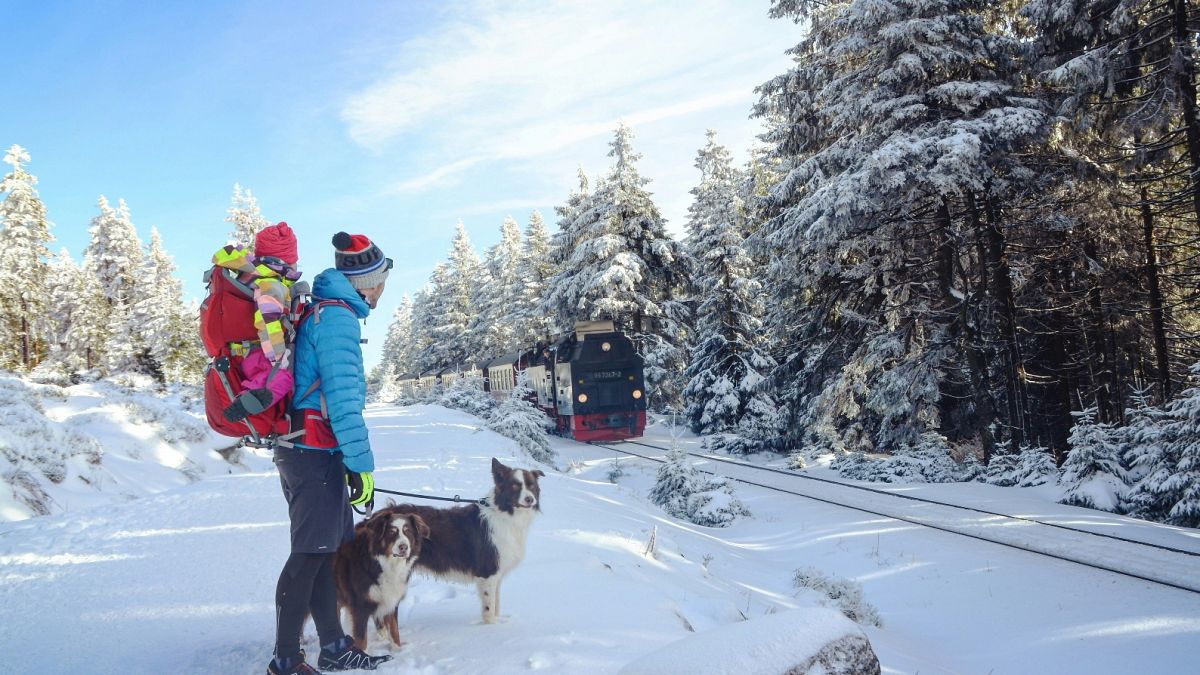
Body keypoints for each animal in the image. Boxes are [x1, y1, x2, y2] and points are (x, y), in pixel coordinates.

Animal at [333, 506, 432, 643]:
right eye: (391, 532)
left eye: (408, 531)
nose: (403, 547)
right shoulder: (360, 606)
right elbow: (362, 641)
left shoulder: (392, 601)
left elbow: (395, 632)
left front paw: (396, 647)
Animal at [374, 456, 544, 624]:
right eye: (515, 486)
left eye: (531, 485)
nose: (530, 499)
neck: (505, 514)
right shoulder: (488, 572)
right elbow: (489, 608)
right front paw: (491, 628)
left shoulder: (497, 573)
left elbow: (496, 604)